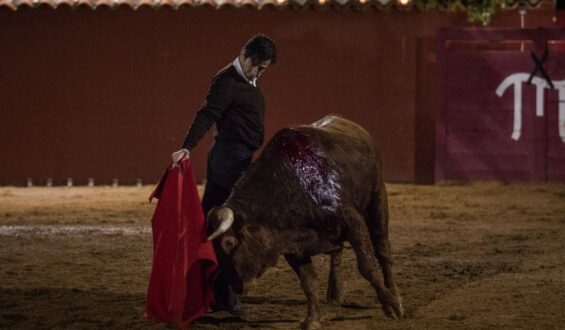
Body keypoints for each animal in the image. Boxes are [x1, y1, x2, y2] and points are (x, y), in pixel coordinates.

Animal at [206, 114, 400, 328]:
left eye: (230, 242)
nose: (238, 286)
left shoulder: (353, 222)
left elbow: (368, 266)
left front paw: (390, 305)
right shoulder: (291, 245)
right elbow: (309, 282)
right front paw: (312, 319)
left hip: (378, 197)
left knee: (383, 249)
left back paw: (395, 297)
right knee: (337, 254)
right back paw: (334, 293)